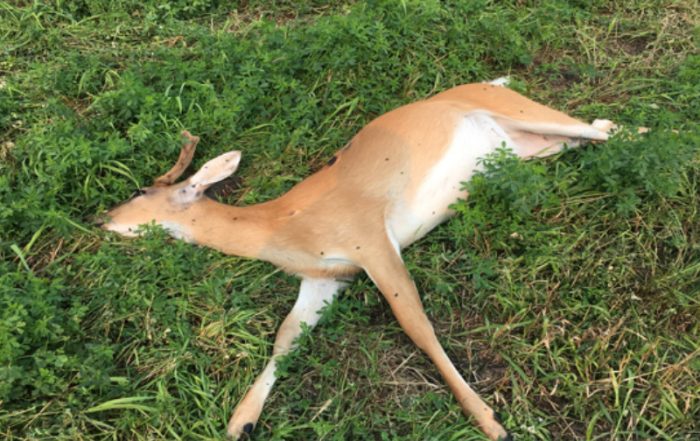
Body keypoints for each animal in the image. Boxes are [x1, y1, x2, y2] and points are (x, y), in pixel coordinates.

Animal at [100, 79, 623, 441]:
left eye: (140, 191)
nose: (102, 218)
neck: (282, 226)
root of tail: (492, 81)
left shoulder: (370, 239)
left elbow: (415, 323)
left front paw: (492, 422)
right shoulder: (327, 278)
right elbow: (286, 336)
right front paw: (239, 421)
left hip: (526, 113)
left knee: (609, 130)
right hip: (529, 148)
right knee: (595, 133)